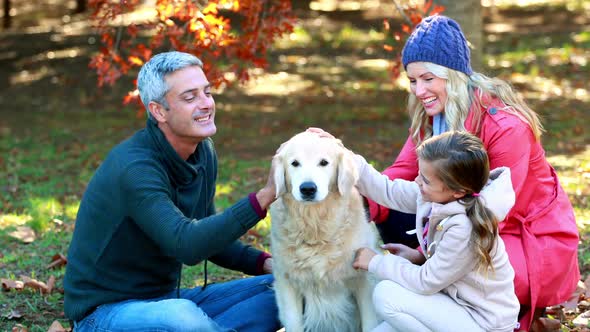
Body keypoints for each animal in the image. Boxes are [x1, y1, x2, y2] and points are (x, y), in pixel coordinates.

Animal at [272, 132, 382, 332]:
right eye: (294, 163)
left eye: (324, 162)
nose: (308, 189)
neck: (315, 225)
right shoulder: (287, 281)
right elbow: (294, 322)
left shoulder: (364, 279)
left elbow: (370, 322)